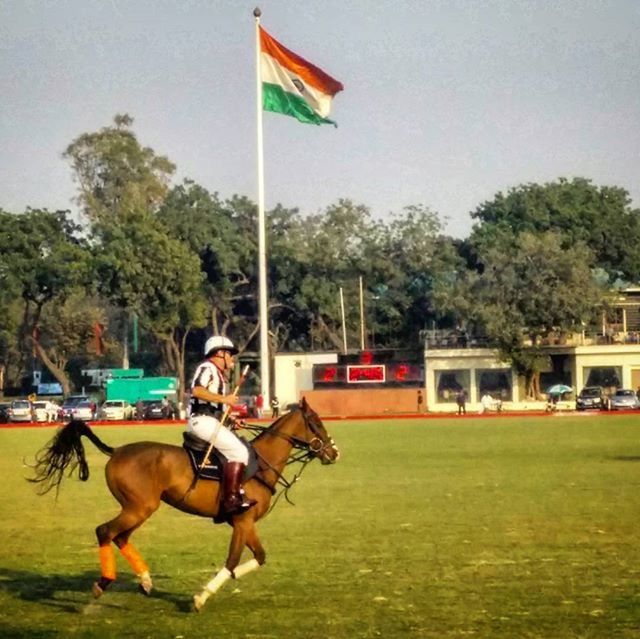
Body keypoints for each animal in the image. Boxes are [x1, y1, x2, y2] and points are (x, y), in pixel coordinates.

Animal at [28, 398, 340, 612]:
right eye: (317, 423)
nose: (334, 453)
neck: (260, 465)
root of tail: (115, 451)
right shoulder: (241, 521)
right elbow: (231, 561)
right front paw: (201, 597)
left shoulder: (245, 522)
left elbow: (258, 557)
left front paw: (222, 583)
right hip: (140, 507)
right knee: (105, 531)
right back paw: (102, 584)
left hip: (138, 508)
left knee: (121, 536)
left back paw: (145, 581)